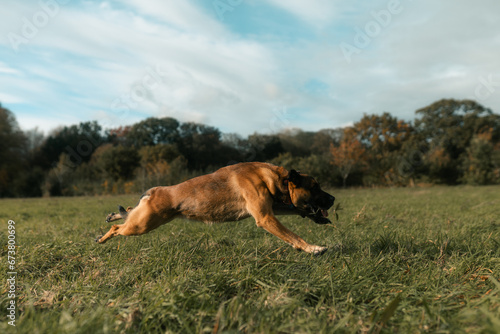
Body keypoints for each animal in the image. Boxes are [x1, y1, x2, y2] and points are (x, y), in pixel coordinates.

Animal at [95, 163, 334, 254]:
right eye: (315, 187)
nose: (332, 199)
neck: (278, 179)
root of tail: (153, 191)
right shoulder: (266, 217)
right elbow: (294, 236)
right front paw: (313, 248)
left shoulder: (272, 208)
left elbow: (297, 210)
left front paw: (316, 218)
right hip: (142, 225)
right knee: (118, 229)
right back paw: (102, 238)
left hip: (144, 220)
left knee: (127, 211)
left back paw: (113, 216)